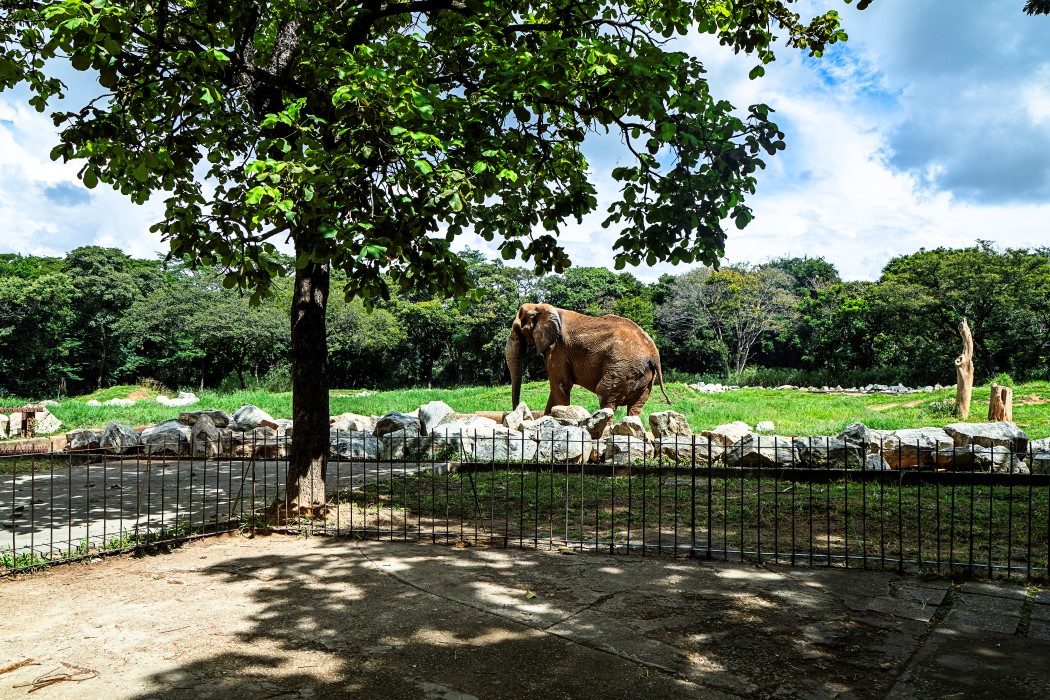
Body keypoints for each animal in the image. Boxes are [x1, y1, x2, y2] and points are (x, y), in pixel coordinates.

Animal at [505, 303, 671, 416]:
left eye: (517, 328)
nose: (516, 410)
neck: (543, 307)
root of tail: (654, 354)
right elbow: (556, 387)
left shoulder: (557, 348)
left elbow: (560, 385)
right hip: (644, 376)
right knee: (636, 406)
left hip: (622, 367)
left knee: (606, 396)